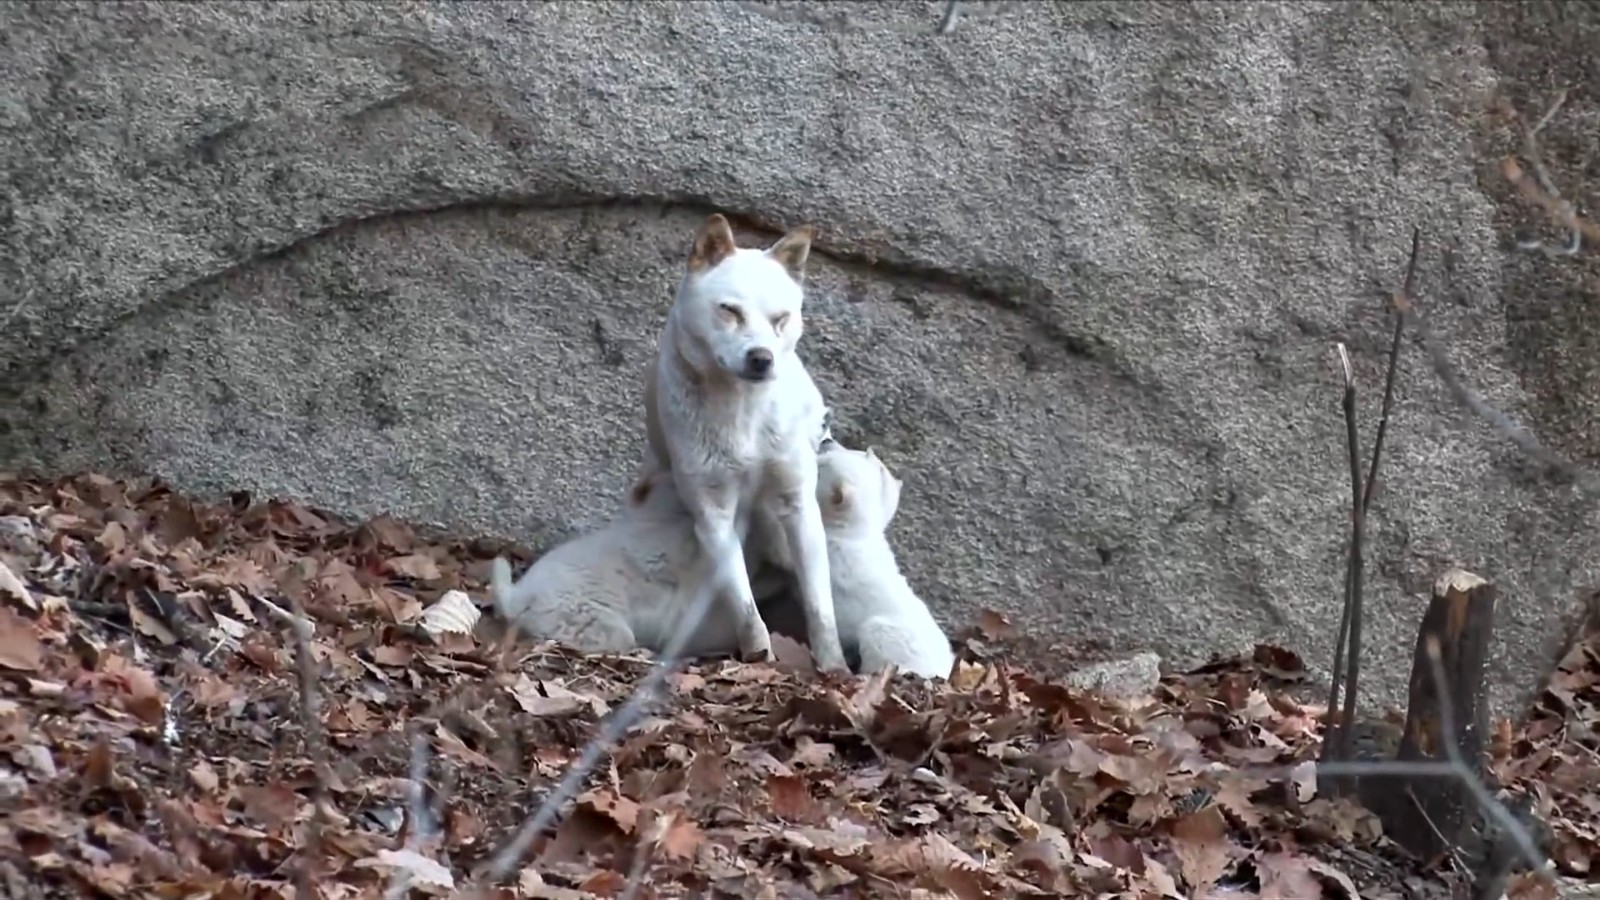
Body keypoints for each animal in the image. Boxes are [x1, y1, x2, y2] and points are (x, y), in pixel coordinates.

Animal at [640, 212, 851, 669]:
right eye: (730, 311)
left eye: (780, 318)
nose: (761, 359)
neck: (743, 414)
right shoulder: (714, 515)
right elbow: (744, 605)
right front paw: (759, 659)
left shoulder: (797, 504)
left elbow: (819, 604)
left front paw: (833, 666)